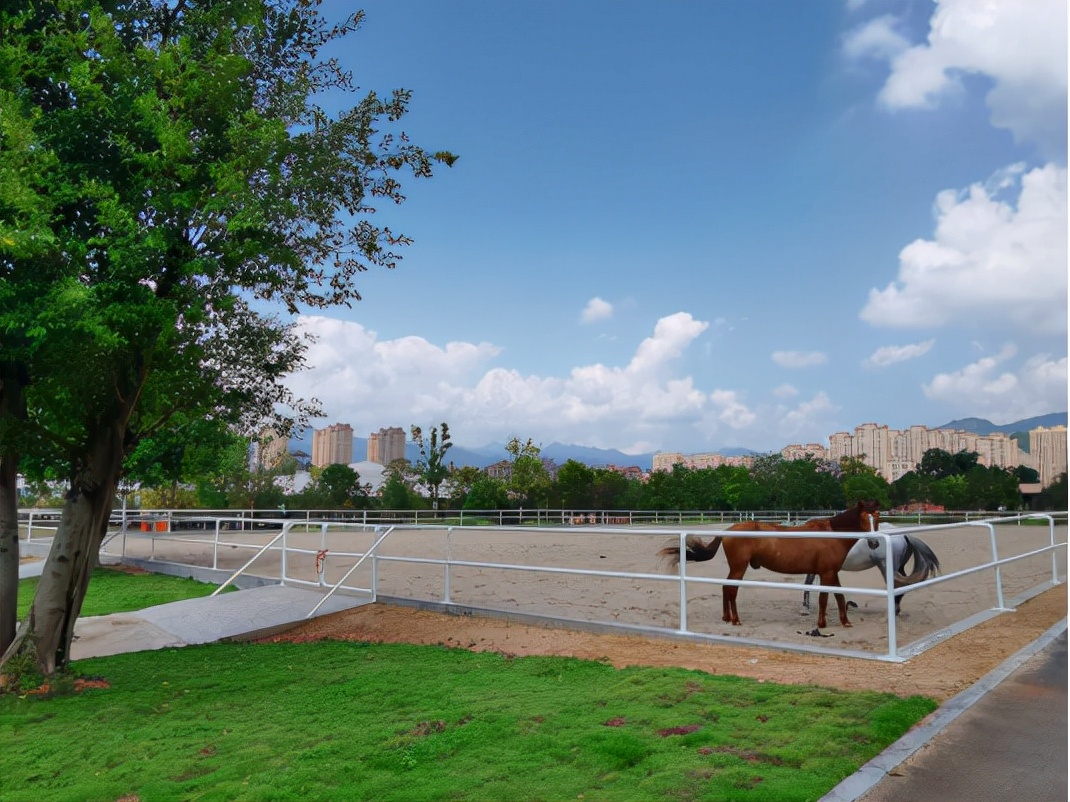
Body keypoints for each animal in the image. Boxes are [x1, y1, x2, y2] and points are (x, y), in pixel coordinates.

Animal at [659, 502, 885, 628]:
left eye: (877, 518)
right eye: (864, 519)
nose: (875, 543)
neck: (831, 534)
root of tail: (728, 530)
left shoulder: (832, 572)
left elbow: (839, 595)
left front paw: (845, 621)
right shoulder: (826, 573)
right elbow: (824, 598)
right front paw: (822, 624)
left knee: (726, 587)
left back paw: (726, 617)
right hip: (739, 567)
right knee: (732, 589)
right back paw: (736, 620)